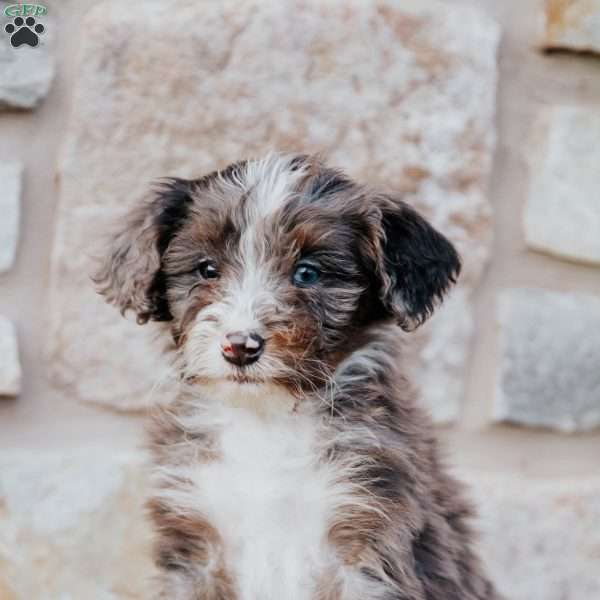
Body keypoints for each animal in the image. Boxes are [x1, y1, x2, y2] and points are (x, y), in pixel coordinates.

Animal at [96, 152, 500, 596]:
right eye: (207, 269)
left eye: (308, 273)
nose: (240, 346)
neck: (267, 421)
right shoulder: (193, 547)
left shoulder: (369, 541)